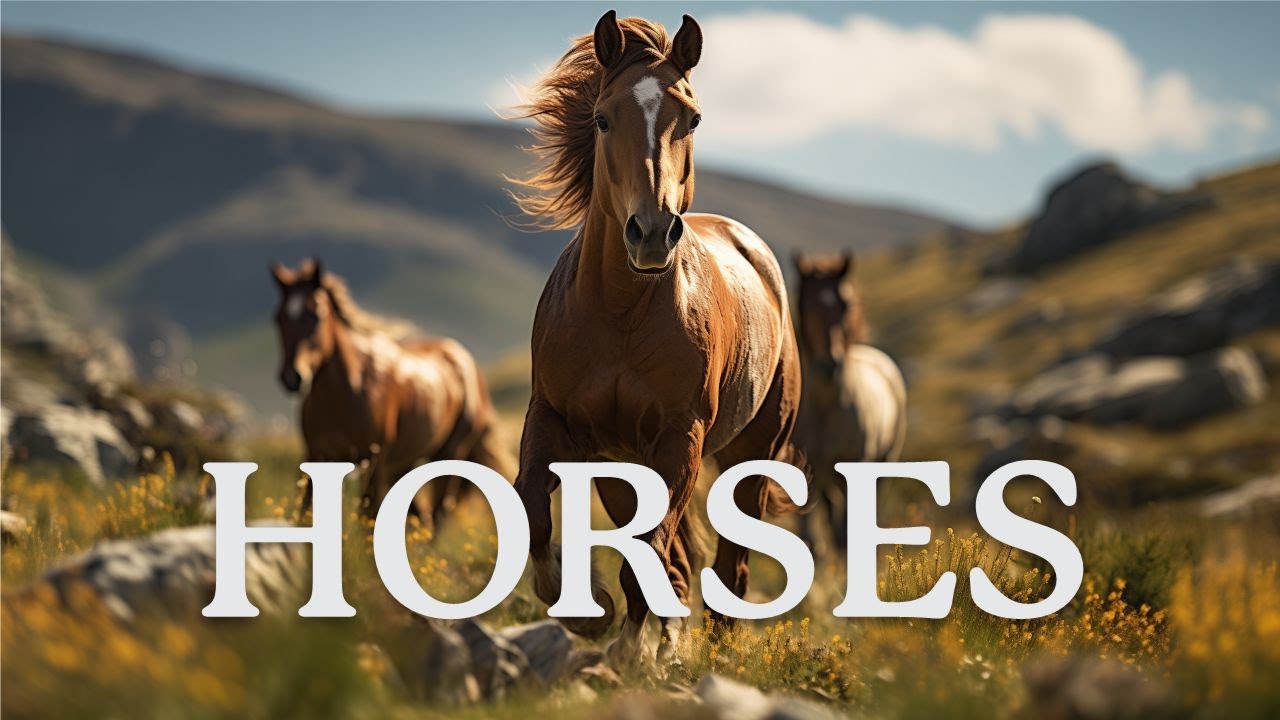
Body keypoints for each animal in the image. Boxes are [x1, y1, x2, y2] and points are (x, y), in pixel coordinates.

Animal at [270, 258, 513, 532]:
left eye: (315, 315)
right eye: (278, 318)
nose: (293, 377)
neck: (344, 393)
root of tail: (469, 364)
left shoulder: (374, 461)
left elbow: (368, 515)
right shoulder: (316, 456)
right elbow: (305, 511)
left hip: (450, 453)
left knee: (438, 514)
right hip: (403, 464)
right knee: (424, 516)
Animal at [509, 11, 805, 665]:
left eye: (691, 118)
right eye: (602, 117)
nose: (650, 233)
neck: (620, 312)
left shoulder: (679, 439)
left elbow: (647, 552)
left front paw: (622, 645)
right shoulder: (553, 419)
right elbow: (533, 510)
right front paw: (587, 611)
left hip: (752, 453)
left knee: (727, 565)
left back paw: (706, 649)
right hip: (621, 468)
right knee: (678, 561)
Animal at [792, 250, 907, 557]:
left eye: (845, 305)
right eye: (804, 305)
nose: (829, 365)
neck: (825, 408)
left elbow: (846, 535)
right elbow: (810, 540)